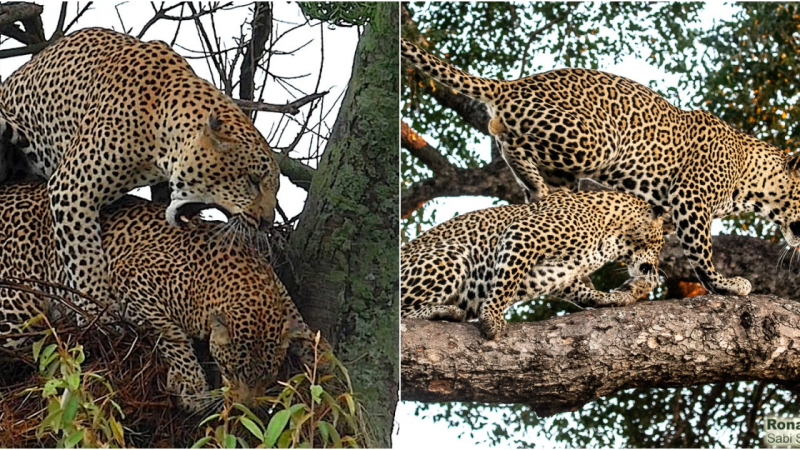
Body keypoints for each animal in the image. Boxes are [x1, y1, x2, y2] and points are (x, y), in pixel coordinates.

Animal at [0, 183, 318, 412]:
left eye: (267, 376)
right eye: (232, 370)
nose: (244, 408)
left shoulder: (287, 306)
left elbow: (312, 343)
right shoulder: (131, 275)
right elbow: (170, 333)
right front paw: (191, 386)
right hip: (18, 310)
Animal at [400, 37, 800, 298]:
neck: (751, 181)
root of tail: (512, 85)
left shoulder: (666, 212)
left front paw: (639, 278)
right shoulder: (690, 199)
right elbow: (701, 253)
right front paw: (726, 284)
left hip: (567, 169)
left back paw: (537, 192)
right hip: (595, 143)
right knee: (505, 134)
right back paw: (529, 180)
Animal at [400, 188, 668, 340]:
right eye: (660, 243)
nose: (656, 269)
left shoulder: (558, 271)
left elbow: (584, 293)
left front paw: (615, 297)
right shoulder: (523, 234)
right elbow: (505, 282)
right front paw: (492, 317)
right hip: (454, 255)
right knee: (402, 312)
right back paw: (445, 311)